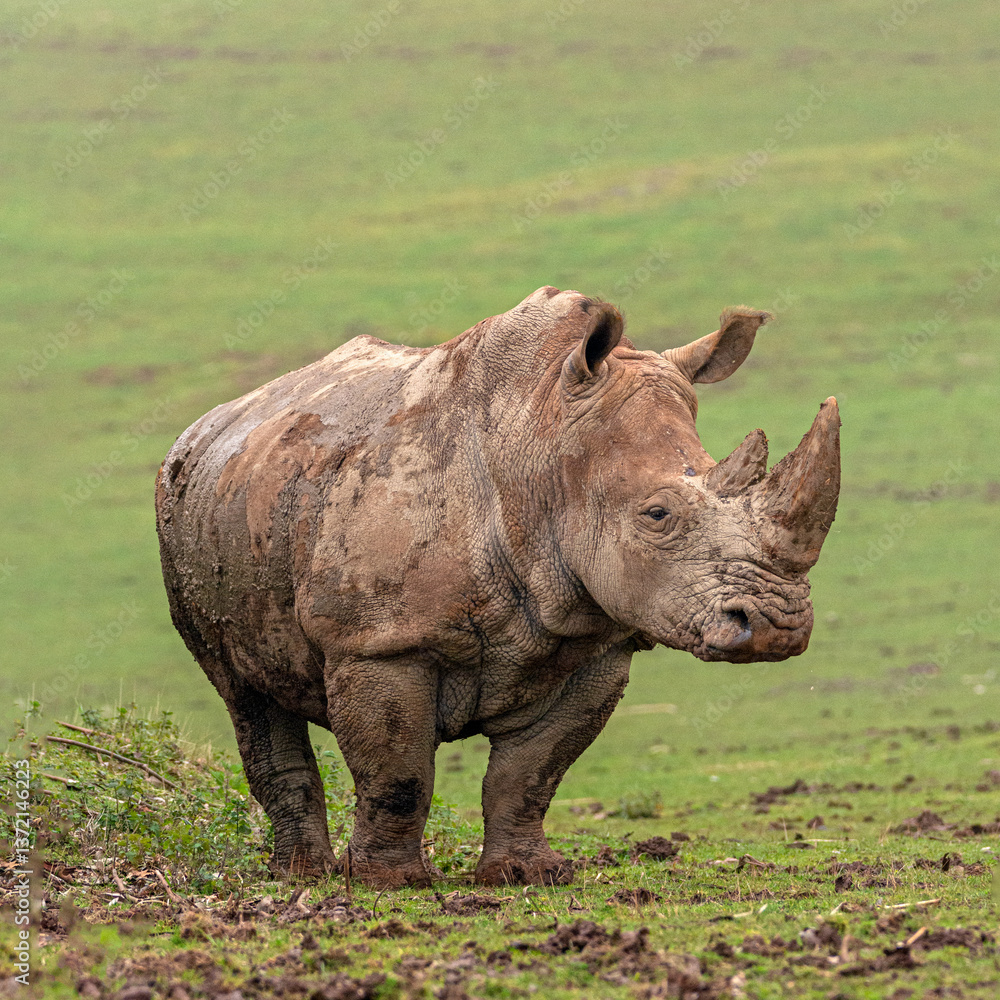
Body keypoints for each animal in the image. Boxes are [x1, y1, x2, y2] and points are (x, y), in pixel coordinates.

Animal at [155, 286, 840, 888]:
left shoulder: (597, 644)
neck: (542, 442)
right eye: (657, 514)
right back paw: (302, 876)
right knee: (244, 695)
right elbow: (398, 773)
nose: (777, 626)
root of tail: (210, 424)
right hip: (191, 511)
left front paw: (528, 875)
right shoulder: (379, 639)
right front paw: (388, 884)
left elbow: (529, 777)